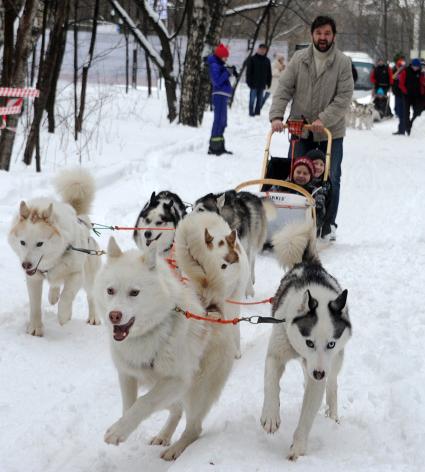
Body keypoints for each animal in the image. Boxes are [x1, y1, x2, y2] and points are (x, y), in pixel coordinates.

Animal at [8, 170, 101, 336]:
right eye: (22, 242)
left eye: (39, 243)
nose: (26, 265)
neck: (53, 260)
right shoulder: (34, 279)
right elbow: (35, 305)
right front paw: (35, 327)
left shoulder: (77, 275)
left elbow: (67, 296)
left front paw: (64, 316)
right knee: (56, 284)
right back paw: (53, 295)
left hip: (89, 276)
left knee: (91, 295)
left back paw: (93, 317)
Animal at [95, 230, 234, 460]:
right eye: (110, 290)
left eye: (134, 292)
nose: (114, 315)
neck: (148, 334)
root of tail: (212, 309)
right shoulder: (127, 375)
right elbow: (130, 405)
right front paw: (124, 426)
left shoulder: (178, 380)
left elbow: (143, 402)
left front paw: (118, 431)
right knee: (176, 409)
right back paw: (164, 436)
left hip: (196, 390)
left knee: (194, 428)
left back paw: (176, 449)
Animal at [260, 222, 350, 460]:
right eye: (309, 342)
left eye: (330, 343)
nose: (318, 373)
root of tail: (310, 263)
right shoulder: (277, 352)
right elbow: (271, 383)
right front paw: (271, 415)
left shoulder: (323, 367)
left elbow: (308, 413)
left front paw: (298, 446)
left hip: (334, 363)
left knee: (332, 383)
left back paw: (332, 413)